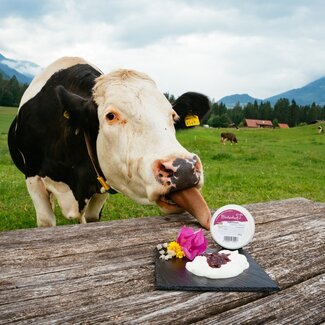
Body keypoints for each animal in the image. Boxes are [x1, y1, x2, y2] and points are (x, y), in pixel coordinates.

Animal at [8, 56, 210, 228]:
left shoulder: (102, 182)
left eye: (173, 115)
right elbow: (46, 222)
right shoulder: (33, 177)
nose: (184, 169)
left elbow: (91, 218)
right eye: (111, 116)